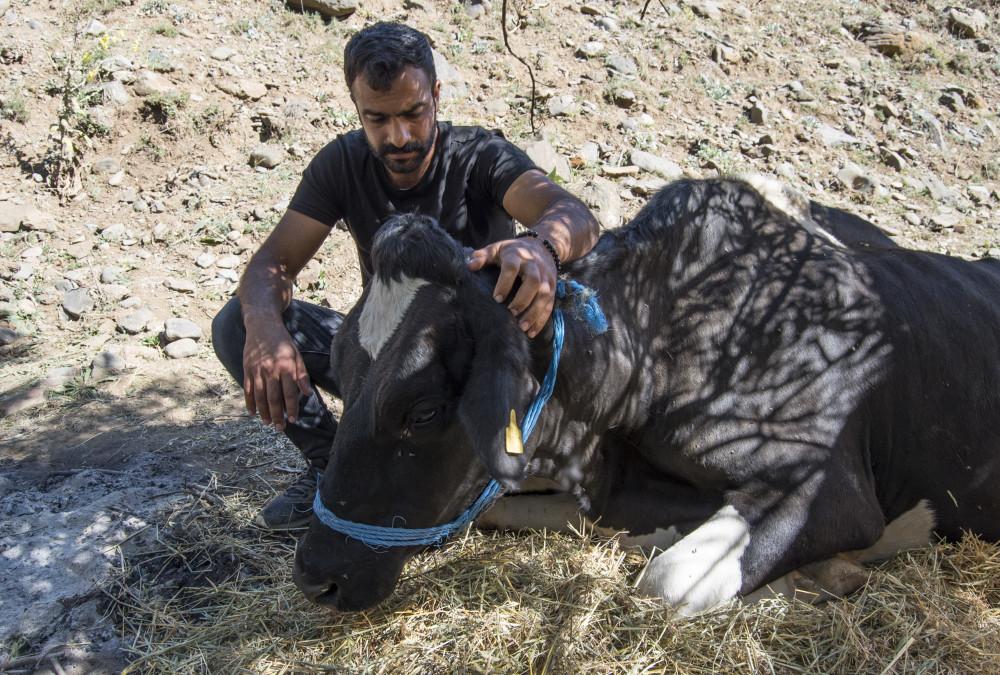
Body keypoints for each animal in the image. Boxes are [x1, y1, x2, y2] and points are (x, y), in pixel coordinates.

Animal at [290, 177, 1000, 616]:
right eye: (341, 378)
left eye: (424, 410)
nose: (315, 577)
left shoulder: (828, 486)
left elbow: (663, 581)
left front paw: (824, 577)